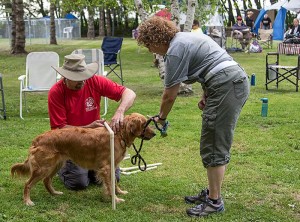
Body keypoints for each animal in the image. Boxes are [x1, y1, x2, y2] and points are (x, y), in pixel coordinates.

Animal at [10, 112, 156, 206]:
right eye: (145, 124)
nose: (155, 133)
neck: (119, 134)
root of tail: (37, 139)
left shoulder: (112, 167)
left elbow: (114, 182)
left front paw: (119, 192)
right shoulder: (106, 168)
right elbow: (110, 185)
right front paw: (115, 199)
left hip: (55, 164)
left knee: (46, 181)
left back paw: (55, 193)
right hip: (44, 168)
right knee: (27, 184)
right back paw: (27, 201)